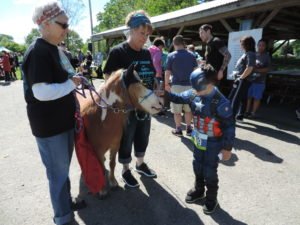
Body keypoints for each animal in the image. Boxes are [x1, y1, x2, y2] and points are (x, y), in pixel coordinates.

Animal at [76, 64, 163, 196]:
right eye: (138, 82)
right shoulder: (97, 149)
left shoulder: (115, 145)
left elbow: (112, 164)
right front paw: (102, 189)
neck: (101, 119)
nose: (160, 103)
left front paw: (113, 182)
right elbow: (101, 167)